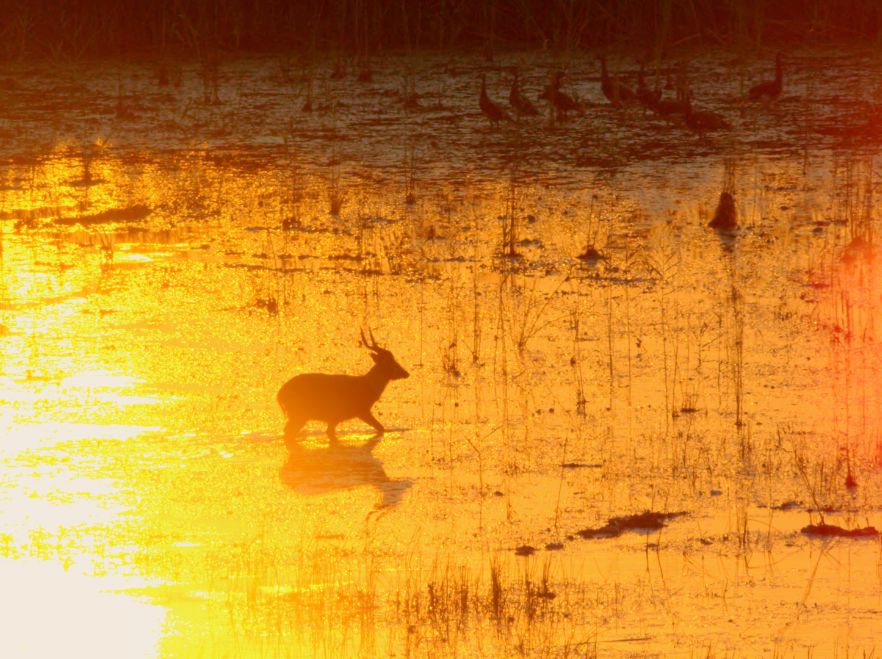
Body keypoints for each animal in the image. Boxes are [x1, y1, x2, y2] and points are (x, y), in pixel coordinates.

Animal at [277, 330, 409, 446]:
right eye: (390, 362)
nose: (406, 373)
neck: (366, 386)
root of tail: (279, 394)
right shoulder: (361, 411)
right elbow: (381, 428)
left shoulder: (335, 418)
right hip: (299, 414)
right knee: (287, 432)